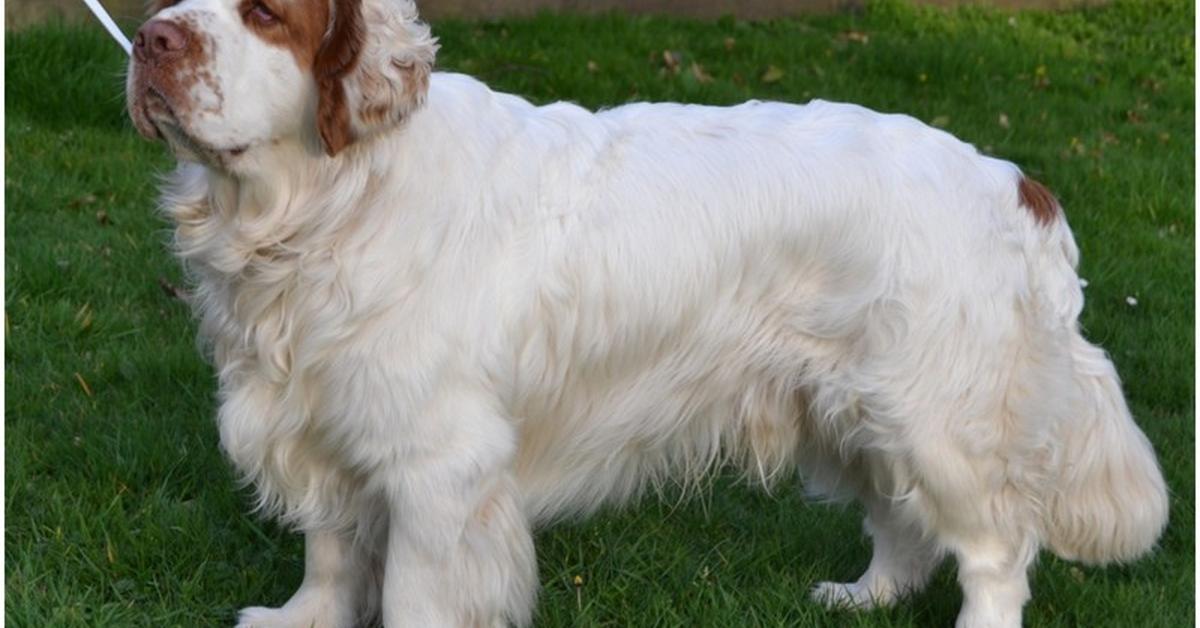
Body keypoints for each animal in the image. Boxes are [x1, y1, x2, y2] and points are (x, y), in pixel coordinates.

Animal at [126, 1, 1166, 628]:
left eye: (267, 13)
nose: (152, 38)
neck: (324, 200)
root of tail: (1016, 183)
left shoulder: (437, 461)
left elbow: (416, 590)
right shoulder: (327, 414)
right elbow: (333, 554)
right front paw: (301, 618)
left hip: (937, 415)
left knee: (994, 551)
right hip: (848, 403)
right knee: (901, 523)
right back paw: (858, 597)